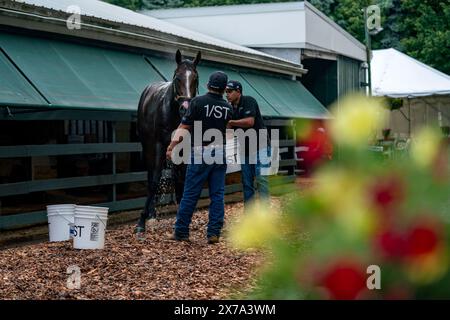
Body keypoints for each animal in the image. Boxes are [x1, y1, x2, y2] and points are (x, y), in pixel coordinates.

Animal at [134, 49, 201, 232]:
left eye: (195, 78)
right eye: (177, 78)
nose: (186, 108)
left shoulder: (184, 148)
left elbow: (182, 180)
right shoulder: (158, 145)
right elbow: (154, 180)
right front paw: (141, 222)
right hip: (148, 146)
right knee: (151, 175)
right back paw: (151, 215)